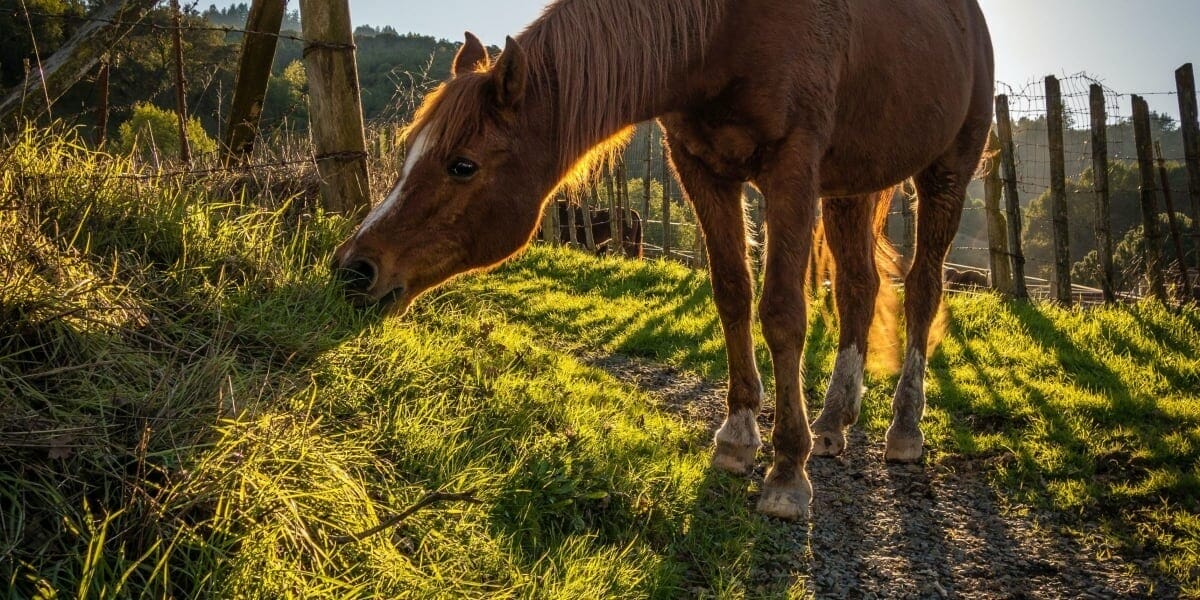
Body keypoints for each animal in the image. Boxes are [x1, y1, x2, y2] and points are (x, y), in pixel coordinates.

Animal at [336, 0, 993, 520]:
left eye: (462, 165)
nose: (354, 268)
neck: (727, 29)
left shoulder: (792, 169)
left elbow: (782, 313)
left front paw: (786, 472)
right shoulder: (701, 168)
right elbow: (732, 294)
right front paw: (738, 436)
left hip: (946, 173)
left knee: (922, 289)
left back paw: (904, 428)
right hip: (852, 186)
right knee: (858, 286)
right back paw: (833, 421)